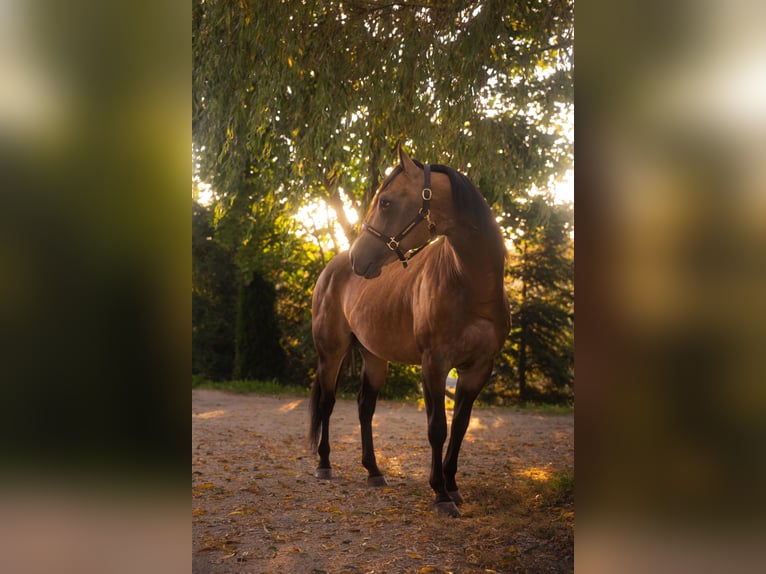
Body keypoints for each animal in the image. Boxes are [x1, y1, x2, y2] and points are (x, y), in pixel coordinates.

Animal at [309, 145, 510, 517]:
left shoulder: (477, 369)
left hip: (374, 358)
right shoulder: (434, 365)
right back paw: (324, 465)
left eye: (387, 202)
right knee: (327, 403)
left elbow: (460, 428)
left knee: (364, 408)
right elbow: (437, 429)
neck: (470, 284)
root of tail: (333, 267)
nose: (359, 258)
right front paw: (440, 494)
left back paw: (374, 471)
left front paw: (452, 485)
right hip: (331, 353)